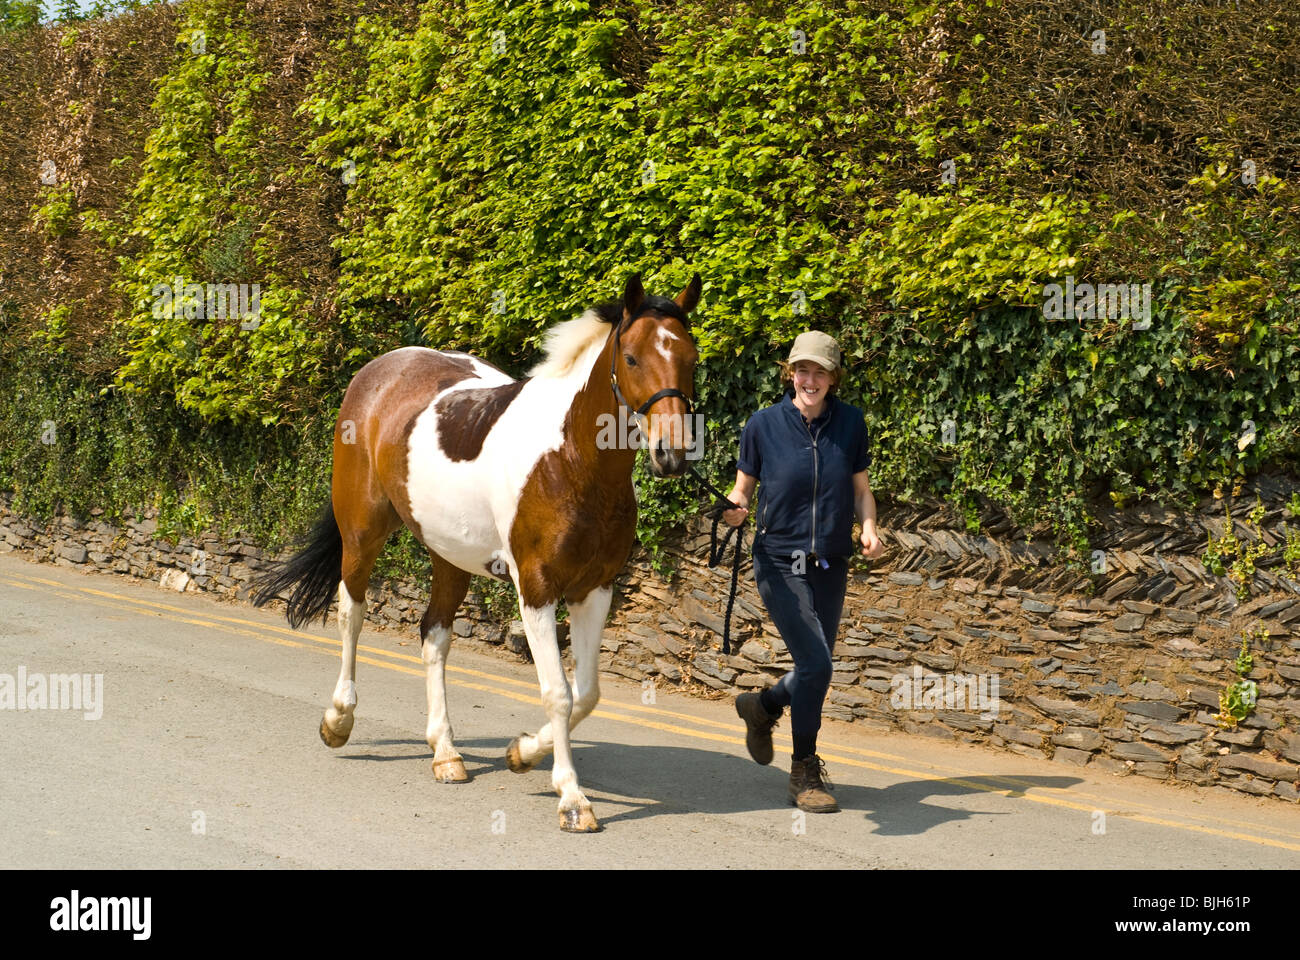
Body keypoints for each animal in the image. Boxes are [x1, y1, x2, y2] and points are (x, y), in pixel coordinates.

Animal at [250, 273, 702, 832]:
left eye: (691, 358)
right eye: (634, 358)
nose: (672, 453)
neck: (570, 459)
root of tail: (382, 369)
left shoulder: (595, 589)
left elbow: (587, 693)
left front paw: (522, 752)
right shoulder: (537, 589)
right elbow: (558, 693)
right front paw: (572, 799)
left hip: (449, 555)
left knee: (434, 636)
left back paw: (446, 754)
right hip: (361, 533)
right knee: (351, 613)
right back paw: (339, 720)